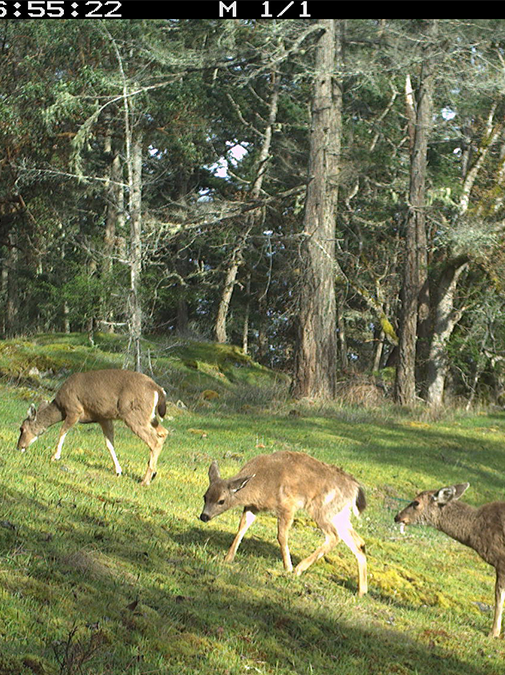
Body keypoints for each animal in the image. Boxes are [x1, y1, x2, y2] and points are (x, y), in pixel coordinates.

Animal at [17, 369, 168, 486]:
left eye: (22, 428)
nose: (19, 447)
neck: (60, 407)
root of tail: (158, 390)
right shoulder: (103, 418)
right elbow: (109, 444)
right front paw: (118, 471)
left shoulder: (74, 410)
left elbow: (62, 431)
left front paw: (55, 456)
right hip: (149, 417)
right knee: (163, 432)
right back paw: (153, 474)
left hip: (132, 414)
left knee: (153, 440)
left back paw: (145, 481)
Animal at [199, 450, 368, 596]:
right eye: (205, 496)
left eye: (221, 500)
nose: (204, 516)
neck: (261, 485)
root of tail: (355, 489)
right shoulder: (253, 507)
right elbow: (242, 527)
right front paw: (228, 558)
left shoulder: (287, 506)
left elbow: (281, 536)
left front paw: (288, 567)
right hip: (339, 514)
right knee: (358, 542)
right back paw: (361, 591)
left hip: (322, 509)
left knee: (334, 536)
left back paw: (299, 569)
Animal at [394, 483, 505, 638]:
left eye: (416, 502)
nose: (397, 517)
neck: (477, 529)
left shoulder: (501, 560)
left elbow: (498, 597)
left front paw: (494, 632)